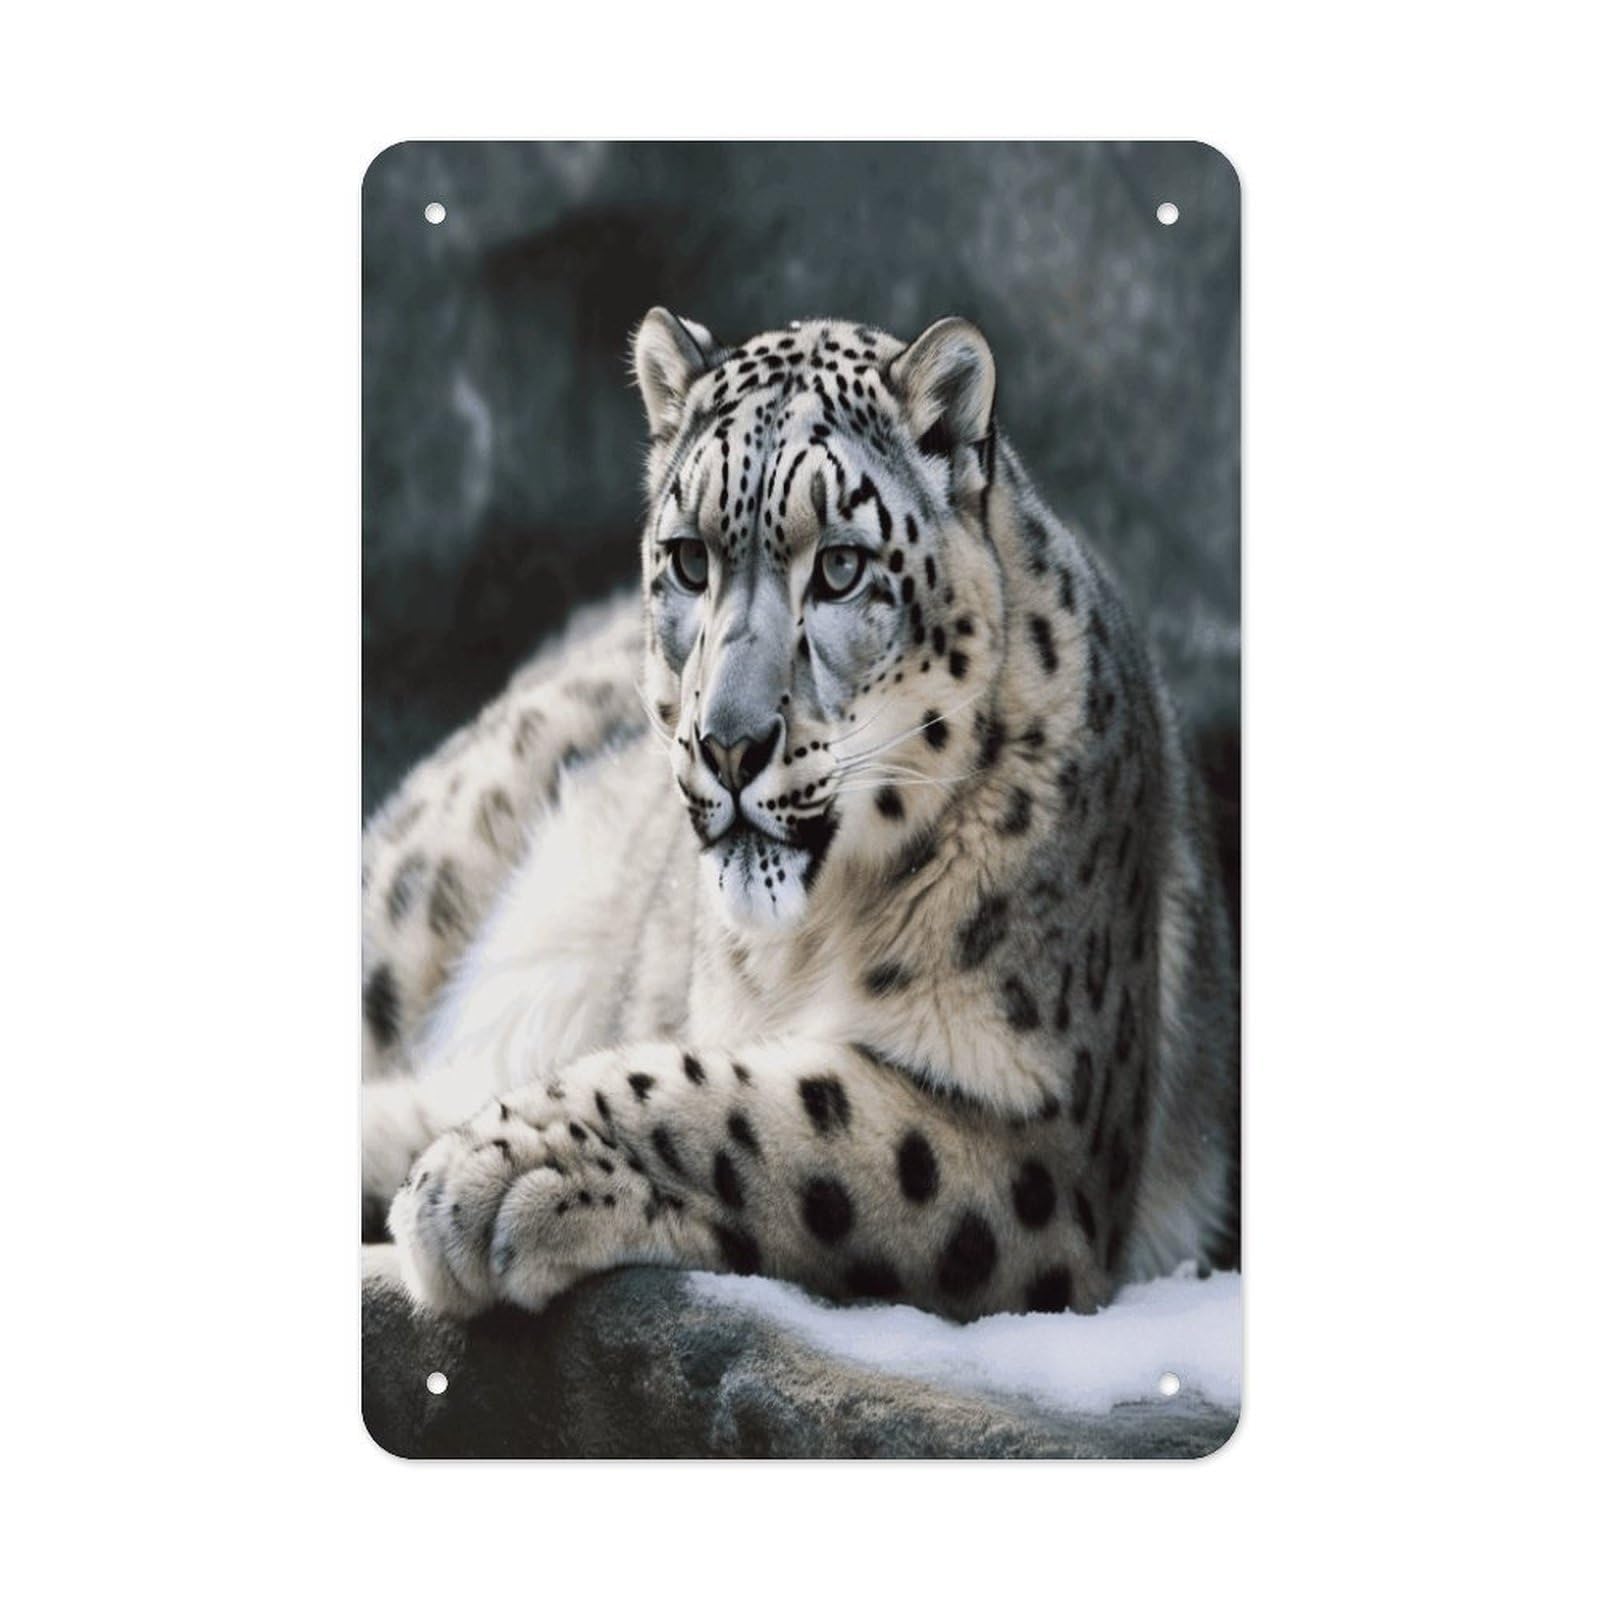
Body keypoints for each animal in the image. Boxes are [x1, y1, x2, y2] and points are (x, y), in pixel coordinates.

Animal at [362, 309, 1239, 1323]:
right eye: (688, 558)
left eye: (843, 567)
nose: (729, 743)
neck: (811, 941)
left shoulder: (1043, 1144)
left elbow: (765, 1112)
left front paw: (490, 1173)